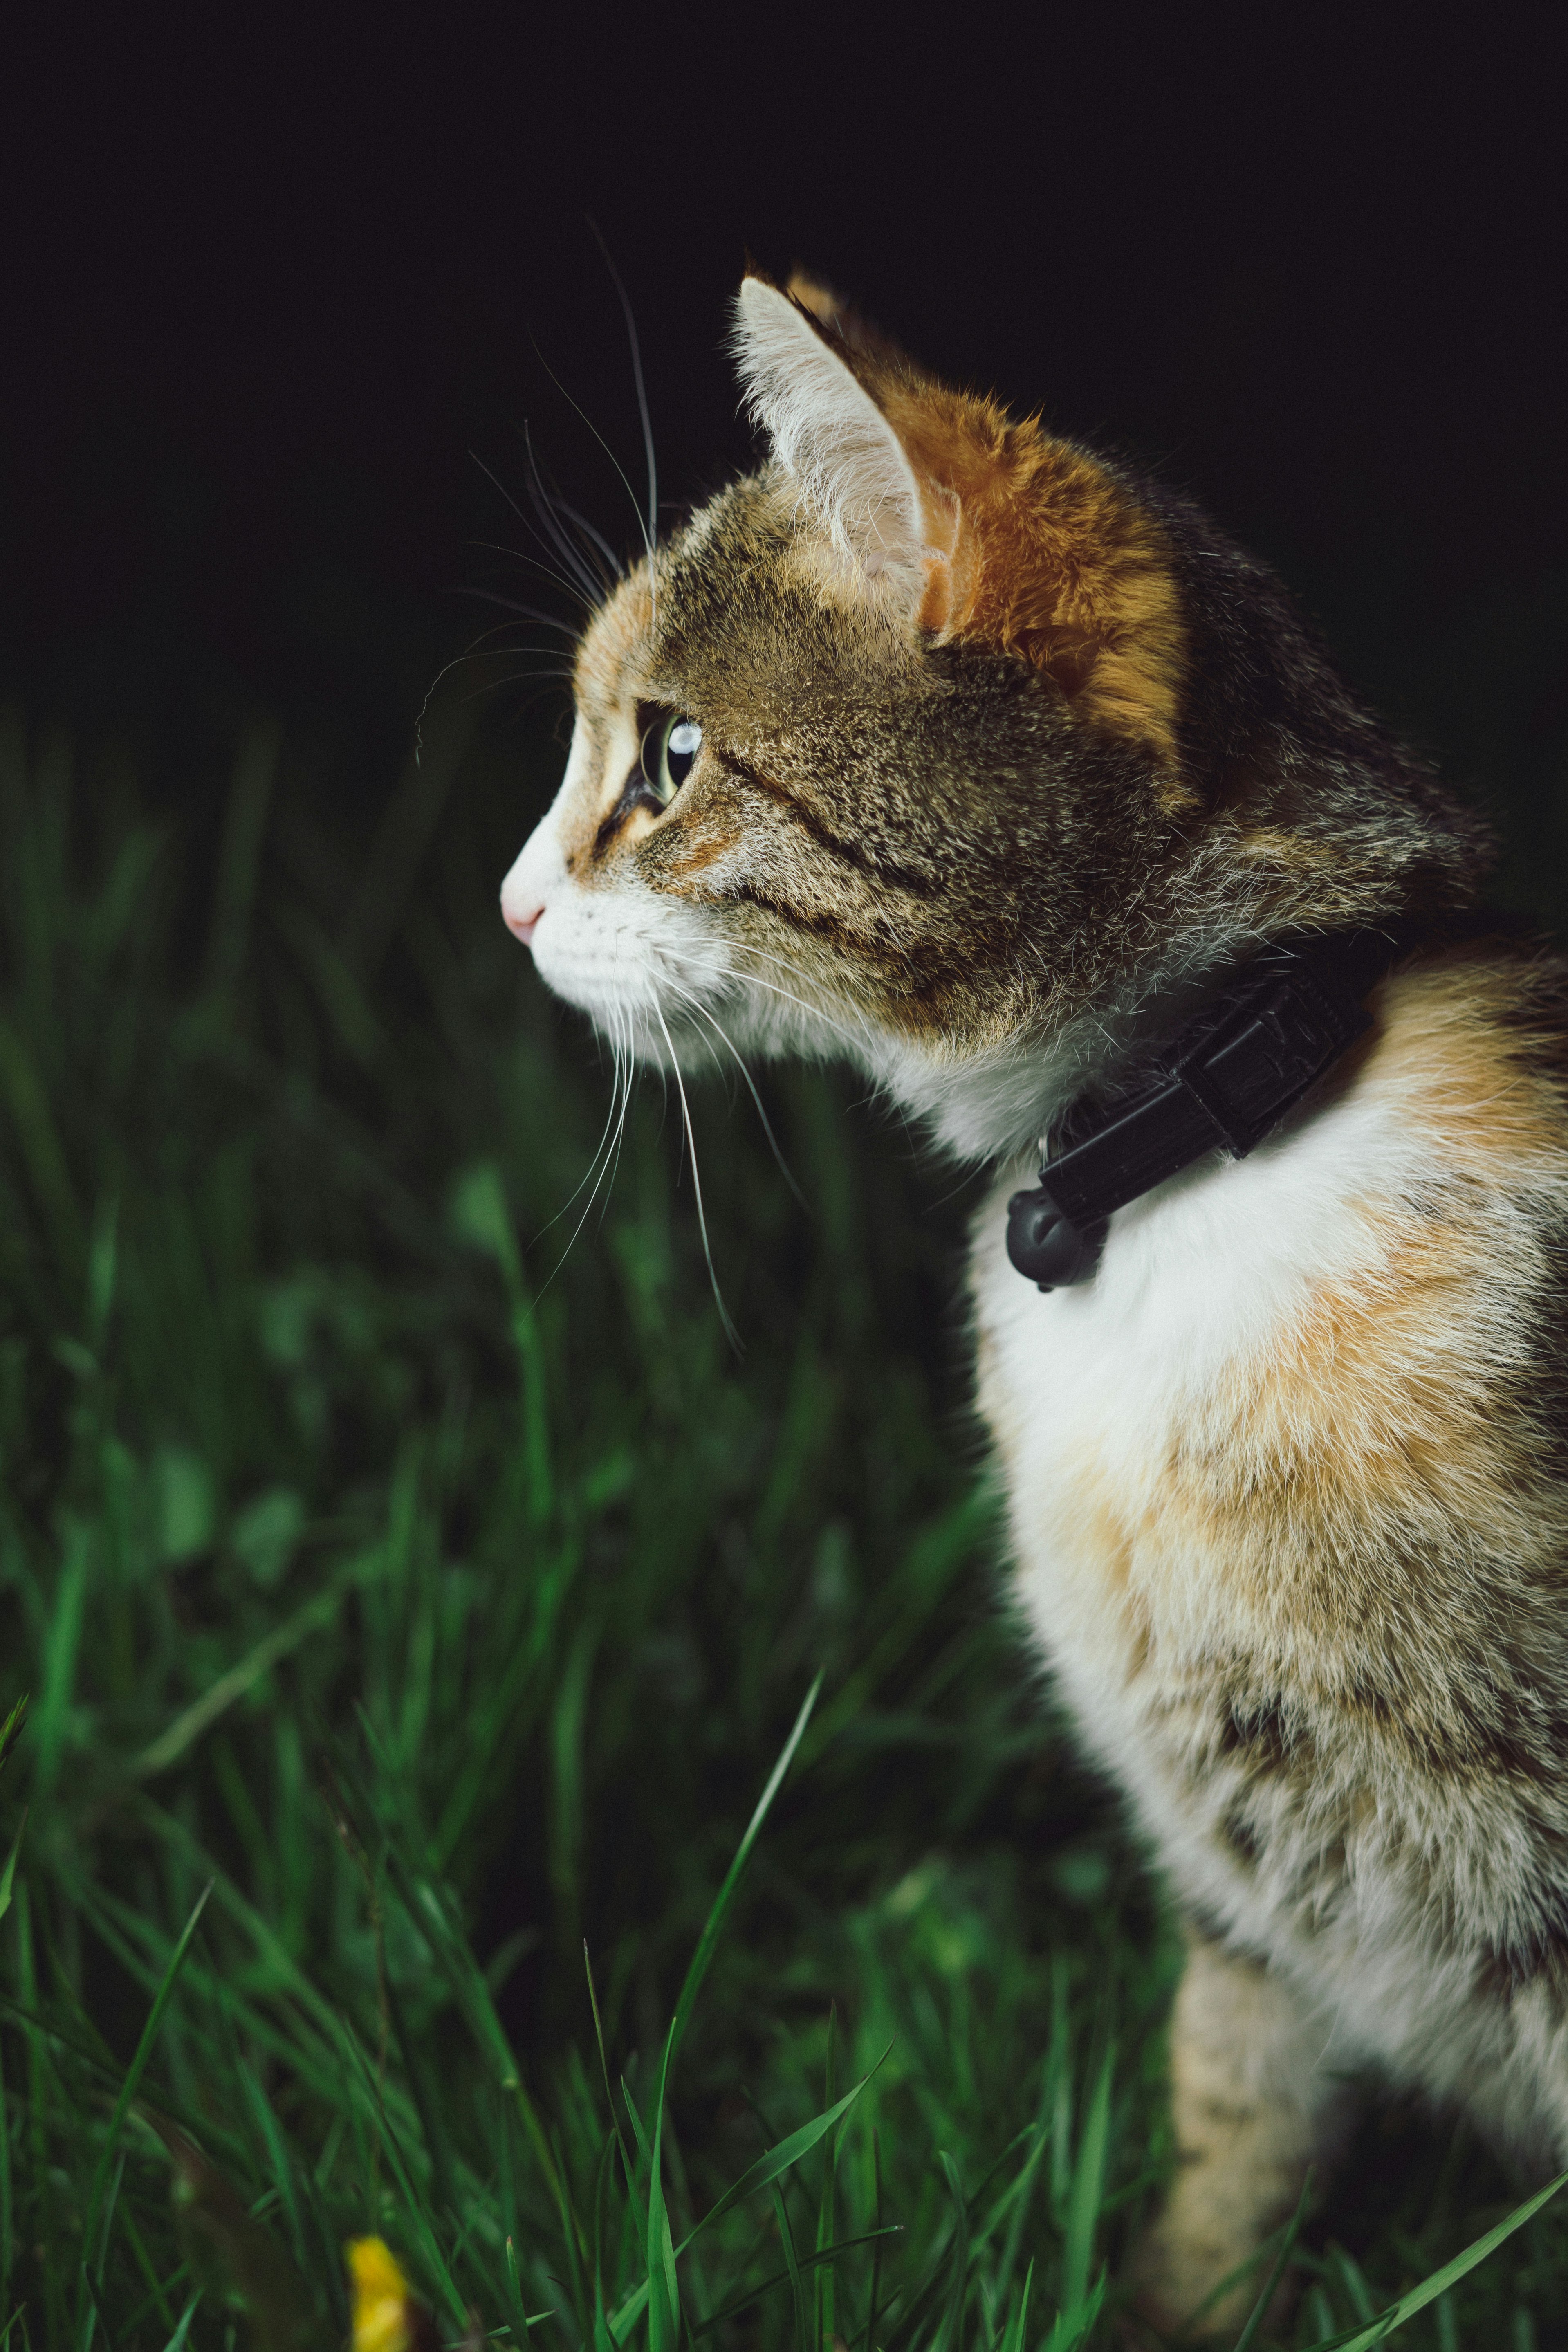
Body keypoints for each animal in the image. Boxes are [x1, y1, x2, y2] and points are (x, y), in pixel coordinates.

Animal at [500, 270, 1568, 2333]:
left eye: (669, 757)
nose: (506, 908)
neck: (1193, 1141)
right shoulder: (1248, 1904)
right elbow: (1226, 2122)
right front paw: (1169, 2291)